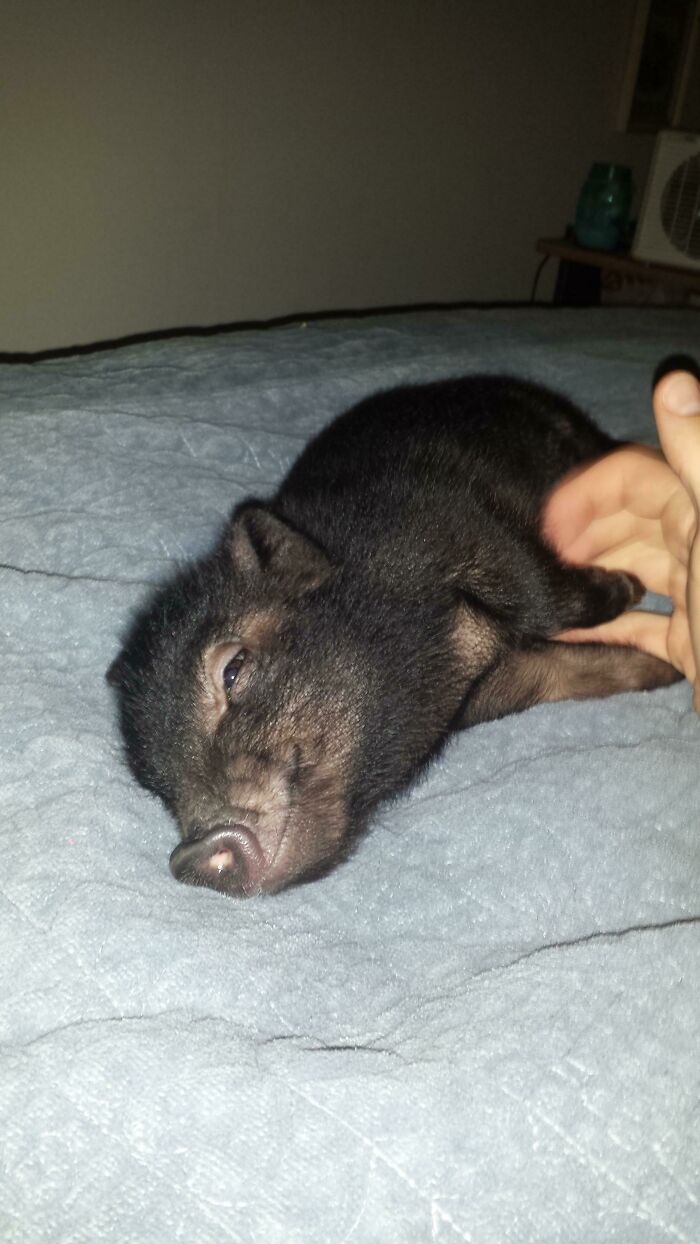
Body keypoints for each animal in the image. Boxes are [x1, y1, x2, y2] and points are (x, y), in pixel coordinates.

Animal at [107, 375, 679, 897]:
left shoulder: (476, 527)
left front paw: (630, 591)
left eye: (233, 668)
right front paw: (669, 670)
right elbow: (571, 672)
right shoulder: (500, 686)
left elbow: (549, 595)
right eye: (153, 782)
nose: (190, 857)